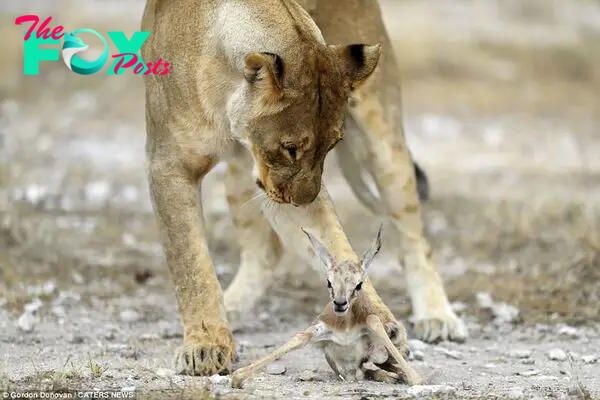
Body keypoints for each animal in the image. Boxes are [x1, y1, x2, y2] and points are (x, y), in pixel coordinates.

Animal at [231, 227, 422, 390]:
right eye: (329, 282)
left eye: (359, 284)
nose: (339, 303)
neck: (346, 328)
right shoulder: (320, 331)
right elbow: (300, 337)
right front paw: (238, 377)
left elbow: (415, 378)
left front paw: (408, 376)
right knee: (369, 370)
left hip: (381, 353)